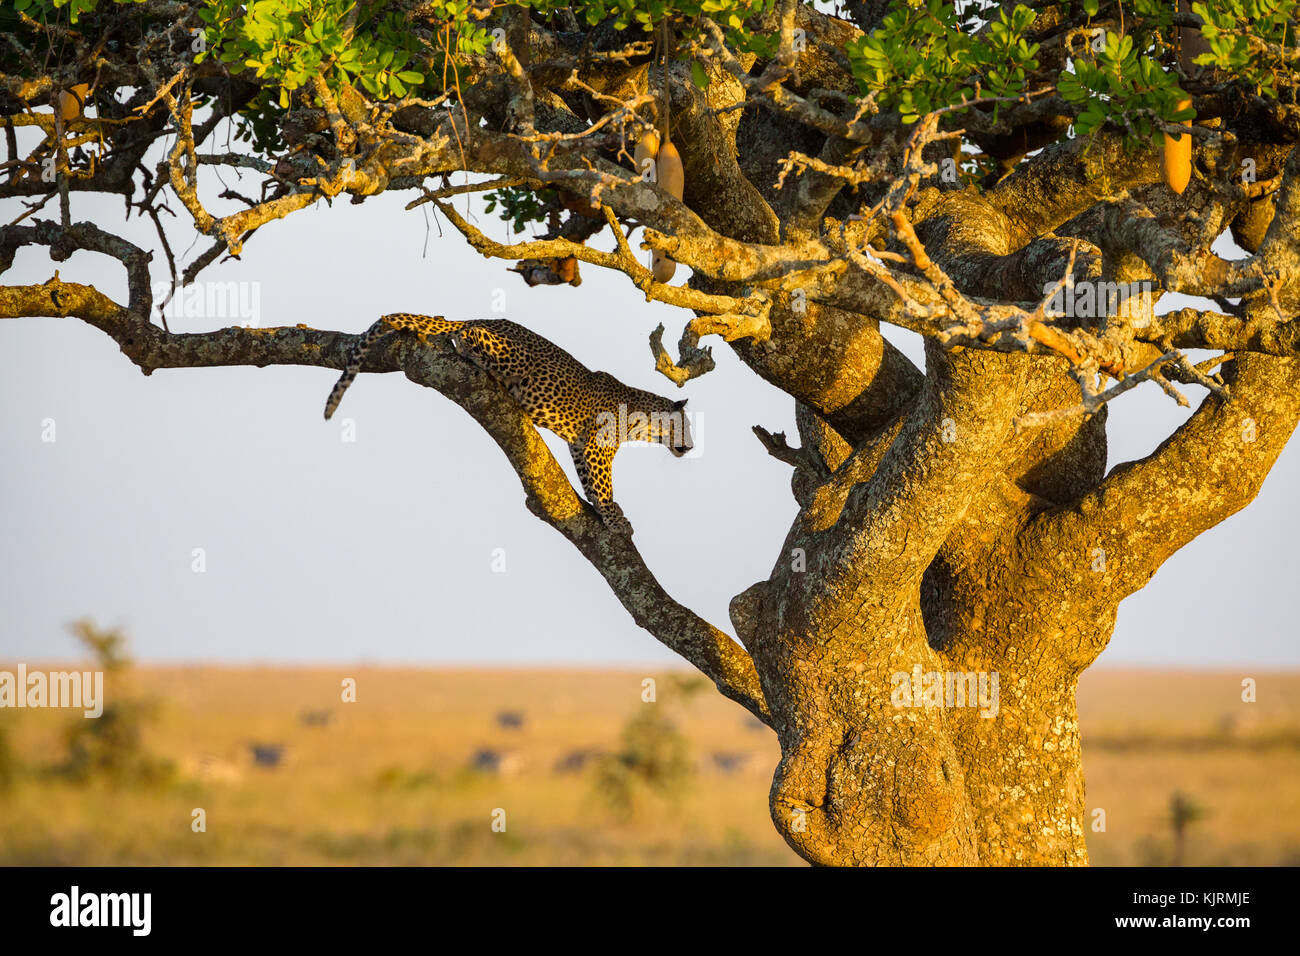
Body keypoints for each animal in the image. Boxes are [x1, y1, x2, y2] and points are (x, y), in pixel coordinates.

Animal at [322, 317, 691, 535]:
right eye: (688, 427)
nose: (691, 447)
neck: (643, 420)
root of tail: (482, 316)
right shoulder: (598, 448)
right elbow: (604, 486)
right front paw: (616, 519)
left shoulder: (579, 446)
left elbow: (589, 485)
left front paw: (606, 513)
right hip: (516, 355)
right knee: (465, 333)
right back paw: (472, 350)